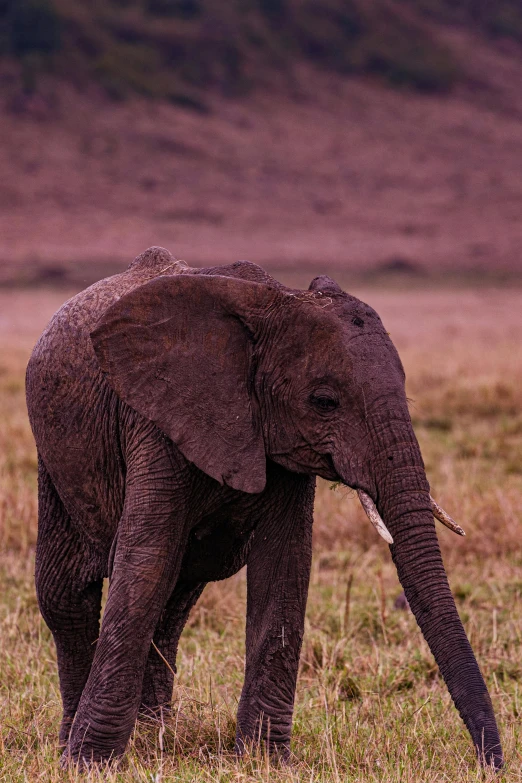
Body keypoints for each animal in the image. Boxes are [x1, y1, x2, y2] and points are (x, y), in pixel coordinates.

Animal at [26, 247, 502, 772]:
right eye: (324, 401)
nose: (491, 764)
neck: (277, 301)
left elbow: (284, 567)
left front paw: (265, 760)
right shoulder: (157, 421)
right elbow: (146, 563)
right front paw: (88, 765)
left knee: (174, 601)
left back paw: (156, 736)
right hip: (54, 453)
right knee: (68, 595)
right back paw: (78, 739)